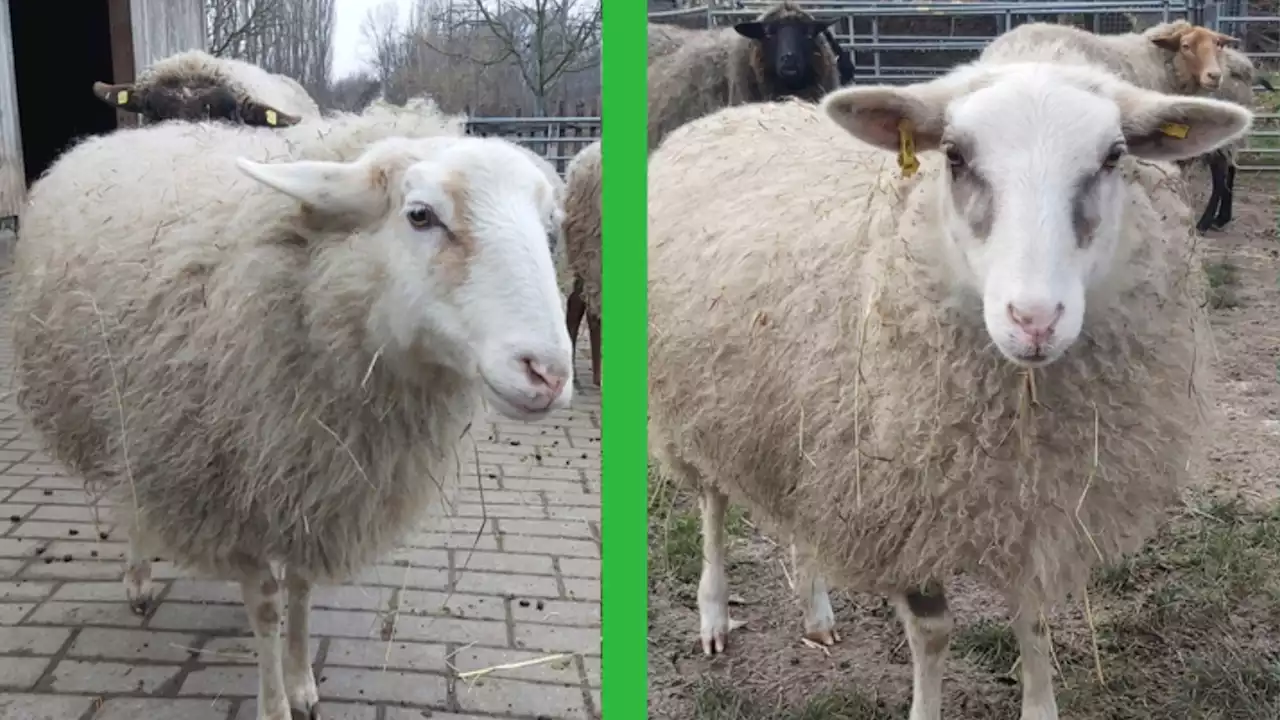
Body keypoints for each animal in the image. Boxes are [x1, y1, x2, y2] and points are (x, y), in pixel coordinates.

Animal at [13, 96, 576, 717]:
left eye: (549, 225)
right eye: (420, 215)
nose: (548, 373)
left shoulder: (317, 486)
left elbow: (302, 588)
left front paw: (303, 680)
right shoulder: (230, 489)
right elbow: (265, 606)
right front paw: (273, 701)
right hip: (121, 412)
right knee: (129, 499)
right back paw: (137, 579)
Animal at [650, 46, 1249, 720]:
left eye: (1114, 156)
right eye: (955, 156)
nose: (1034, 320)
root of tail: (729, 114)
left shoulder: (1027, 500)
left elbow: (1033, 617)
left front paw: (1039, 703)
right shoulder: (902, 501)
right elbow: (933, 632)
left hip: (804, 426)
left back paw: (817, 611)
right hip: (693, 407)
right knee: (712, 506)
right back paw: (713, 614)